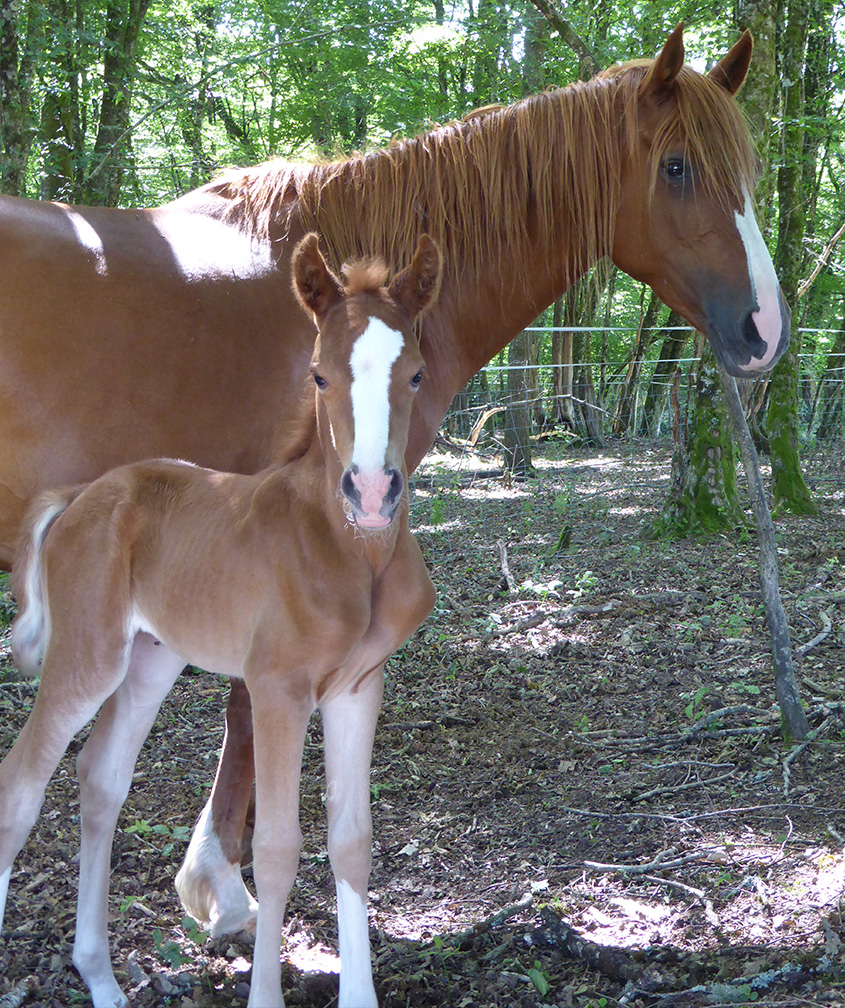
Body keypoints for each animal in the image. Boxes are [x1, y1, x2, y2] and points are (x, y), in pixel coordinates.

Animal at [1, 231, 443, 1003]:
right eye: (319, 376)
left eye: (414, 375)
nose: (370, 492)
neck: (346, 551)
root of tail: (83, 493)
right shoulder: (276, 688)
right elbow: (275, 847)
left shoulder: (358, 689)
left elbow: (351, 841)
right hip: (87, 654)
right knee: (19, 787)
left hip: (150, 658)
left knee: (101, 780)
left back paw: (102, 978)